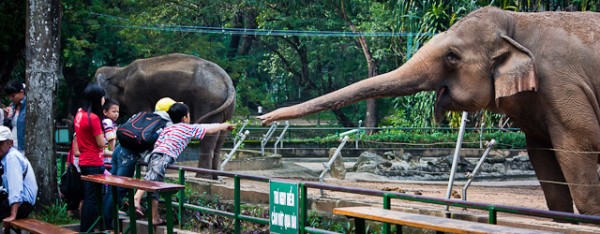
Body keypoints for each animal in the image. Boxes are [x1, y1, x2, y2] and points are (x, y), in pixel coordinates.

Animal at [96, 53, 234, 178]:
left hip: (207, 100)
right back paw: (215, 177)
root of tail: (227, 81)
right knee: (220, 137)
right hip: (223, 105)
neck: (121, 71)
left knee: (209, 138)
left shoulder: (135, 92)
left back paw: (203, 177)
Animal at [258, 6, 600, 216]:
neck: (517, 21)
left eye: (452, 56)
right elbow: (544, 162)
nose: (261, 118)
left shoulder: (563, 85)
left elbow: (580, 145)